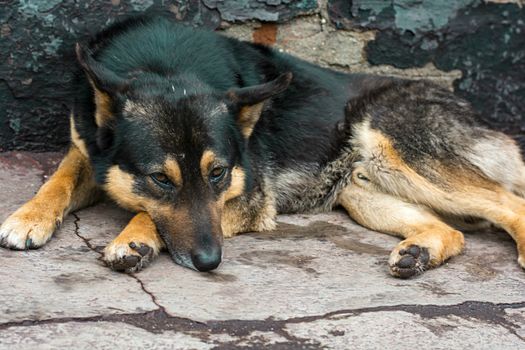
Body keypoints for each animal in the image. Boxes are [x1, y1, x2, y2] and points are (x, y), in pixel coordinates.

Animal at [1, 17, 524, 278]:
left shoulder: (249, 198)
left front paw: (135, 236)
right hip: (362, 190)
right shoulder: (88, 145)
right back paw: (419, 252)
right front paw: (28, 217)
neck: (164, 66)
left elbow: (154, 215)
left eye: (218, 173)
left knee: (509, 203)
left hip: (400, 149)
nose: (210, 263)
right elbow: (60, 178)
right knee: (452, 229)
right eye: (160, 178)